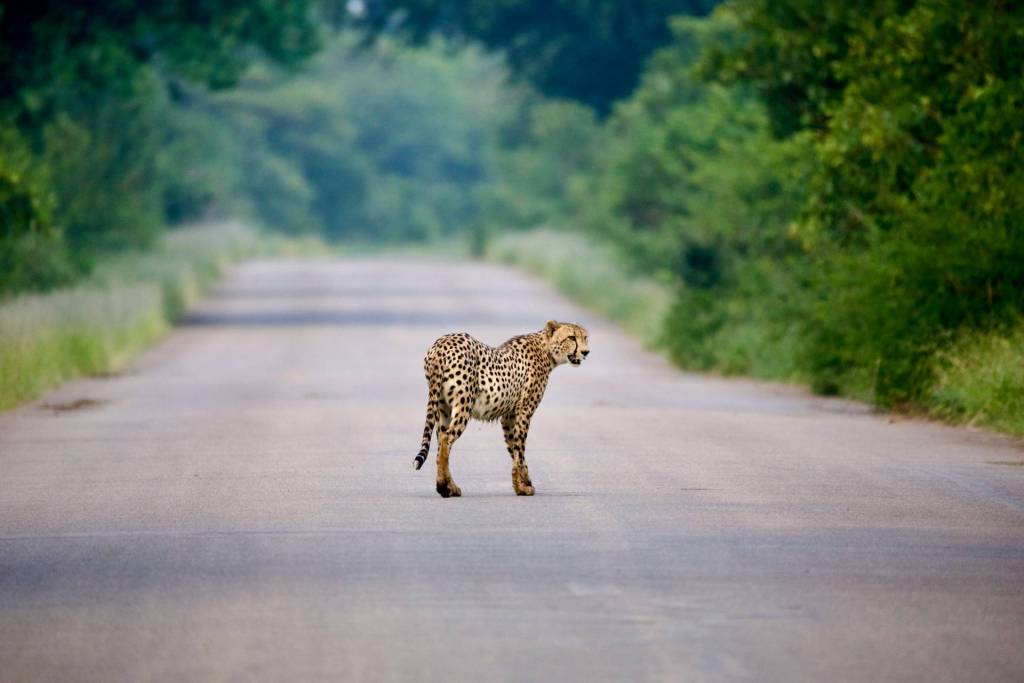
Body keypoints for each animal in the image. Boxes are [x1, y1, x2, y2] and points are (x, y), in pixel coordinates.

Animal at [414, 320, 590, 497]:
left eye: (585, 337)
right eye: (571, 337)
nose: (586, 352)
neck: (546, 349)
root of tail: (441, 343)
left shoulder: (509, 416)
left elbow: (513, 448)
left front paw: (522, 482)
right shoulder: (524, 411)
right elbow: (520, 449)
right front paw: (522, 487)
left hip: (442, 407)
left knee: (440, 442)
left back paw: (450, 487)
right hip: (463, 403)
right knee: (446, 439)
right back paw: (443, 487)